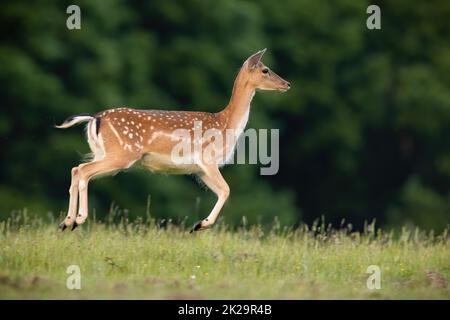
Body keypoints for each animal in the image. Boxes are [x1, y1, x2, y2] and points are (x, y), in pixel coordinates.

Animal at [56, 48, 290, 232]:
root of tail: (95, 118)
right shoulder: (208, 159)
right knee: (83, 170)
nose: (287, 84)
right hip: (122, 153)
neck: (226, 124)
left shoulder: (198, 170)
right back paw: (78, 219)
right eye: (265, 70)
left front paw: (199, 224)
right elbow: (226, 190)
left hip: (103, 152)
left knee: (76, 169)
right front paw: (200, 225)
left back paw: (66, 222)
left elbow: (221, 191)